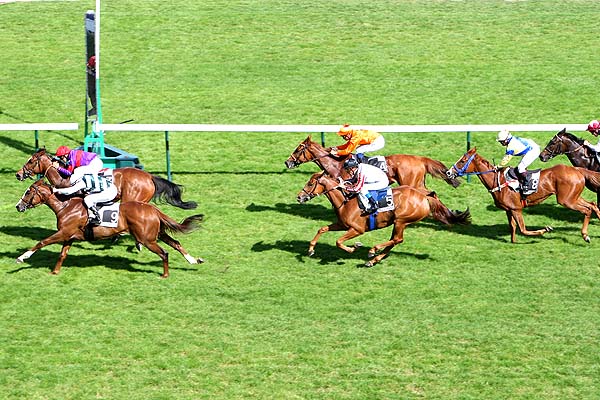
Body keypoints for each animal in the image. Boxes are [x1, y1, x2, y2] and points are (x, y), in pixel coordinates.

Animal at [15, 179, 205, 278]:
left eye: (28, 192)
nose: (18, 206)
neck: (65, 206)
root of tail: (152, 209)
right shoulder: (69, 236)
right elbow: (62, 254)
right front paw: (55, 271)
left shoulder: (63, 233)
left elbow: (42, 242)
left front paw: (22, 257)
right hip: (156, 234)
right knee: (176, 243)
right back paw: (193, 260)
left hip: (147, 239)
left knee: (164, 253)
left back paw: (165, 274)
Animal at [284, 136, 461, 190]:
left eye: (298, 149)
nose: (287, 162)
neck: (337, 164)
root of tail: (420, 159)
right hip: (418, 183)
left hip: (411, 183)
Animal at [296, 172, 471, 267]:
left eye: (310, 183)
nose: (299, 197)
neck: (346, 201)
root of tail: (424, 197)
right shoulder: (342, 224)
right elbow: (322, 229)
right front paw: (310, 249)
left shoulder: (357, 229)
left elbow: (338, 242)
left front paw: (354, 247)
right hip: (398, 222)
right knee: (395, 240)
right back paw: (373, 259)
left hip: (401, 220)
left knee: (397, 239)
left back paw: (373, 251)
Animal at [446, 147, 600, 243]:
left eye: (463, 161)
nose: (448, 172)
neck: (498, 181)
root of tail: (577, 170)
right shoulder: (509, 210)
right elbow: (513, 228)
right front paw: (513, 241)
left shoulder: (516, 209)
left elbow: (523, 229)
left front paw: (545, 229)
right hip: (572, 197)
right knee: (592, 205)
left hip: (566, 200)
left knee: (587, 209)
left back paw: (585, 235)